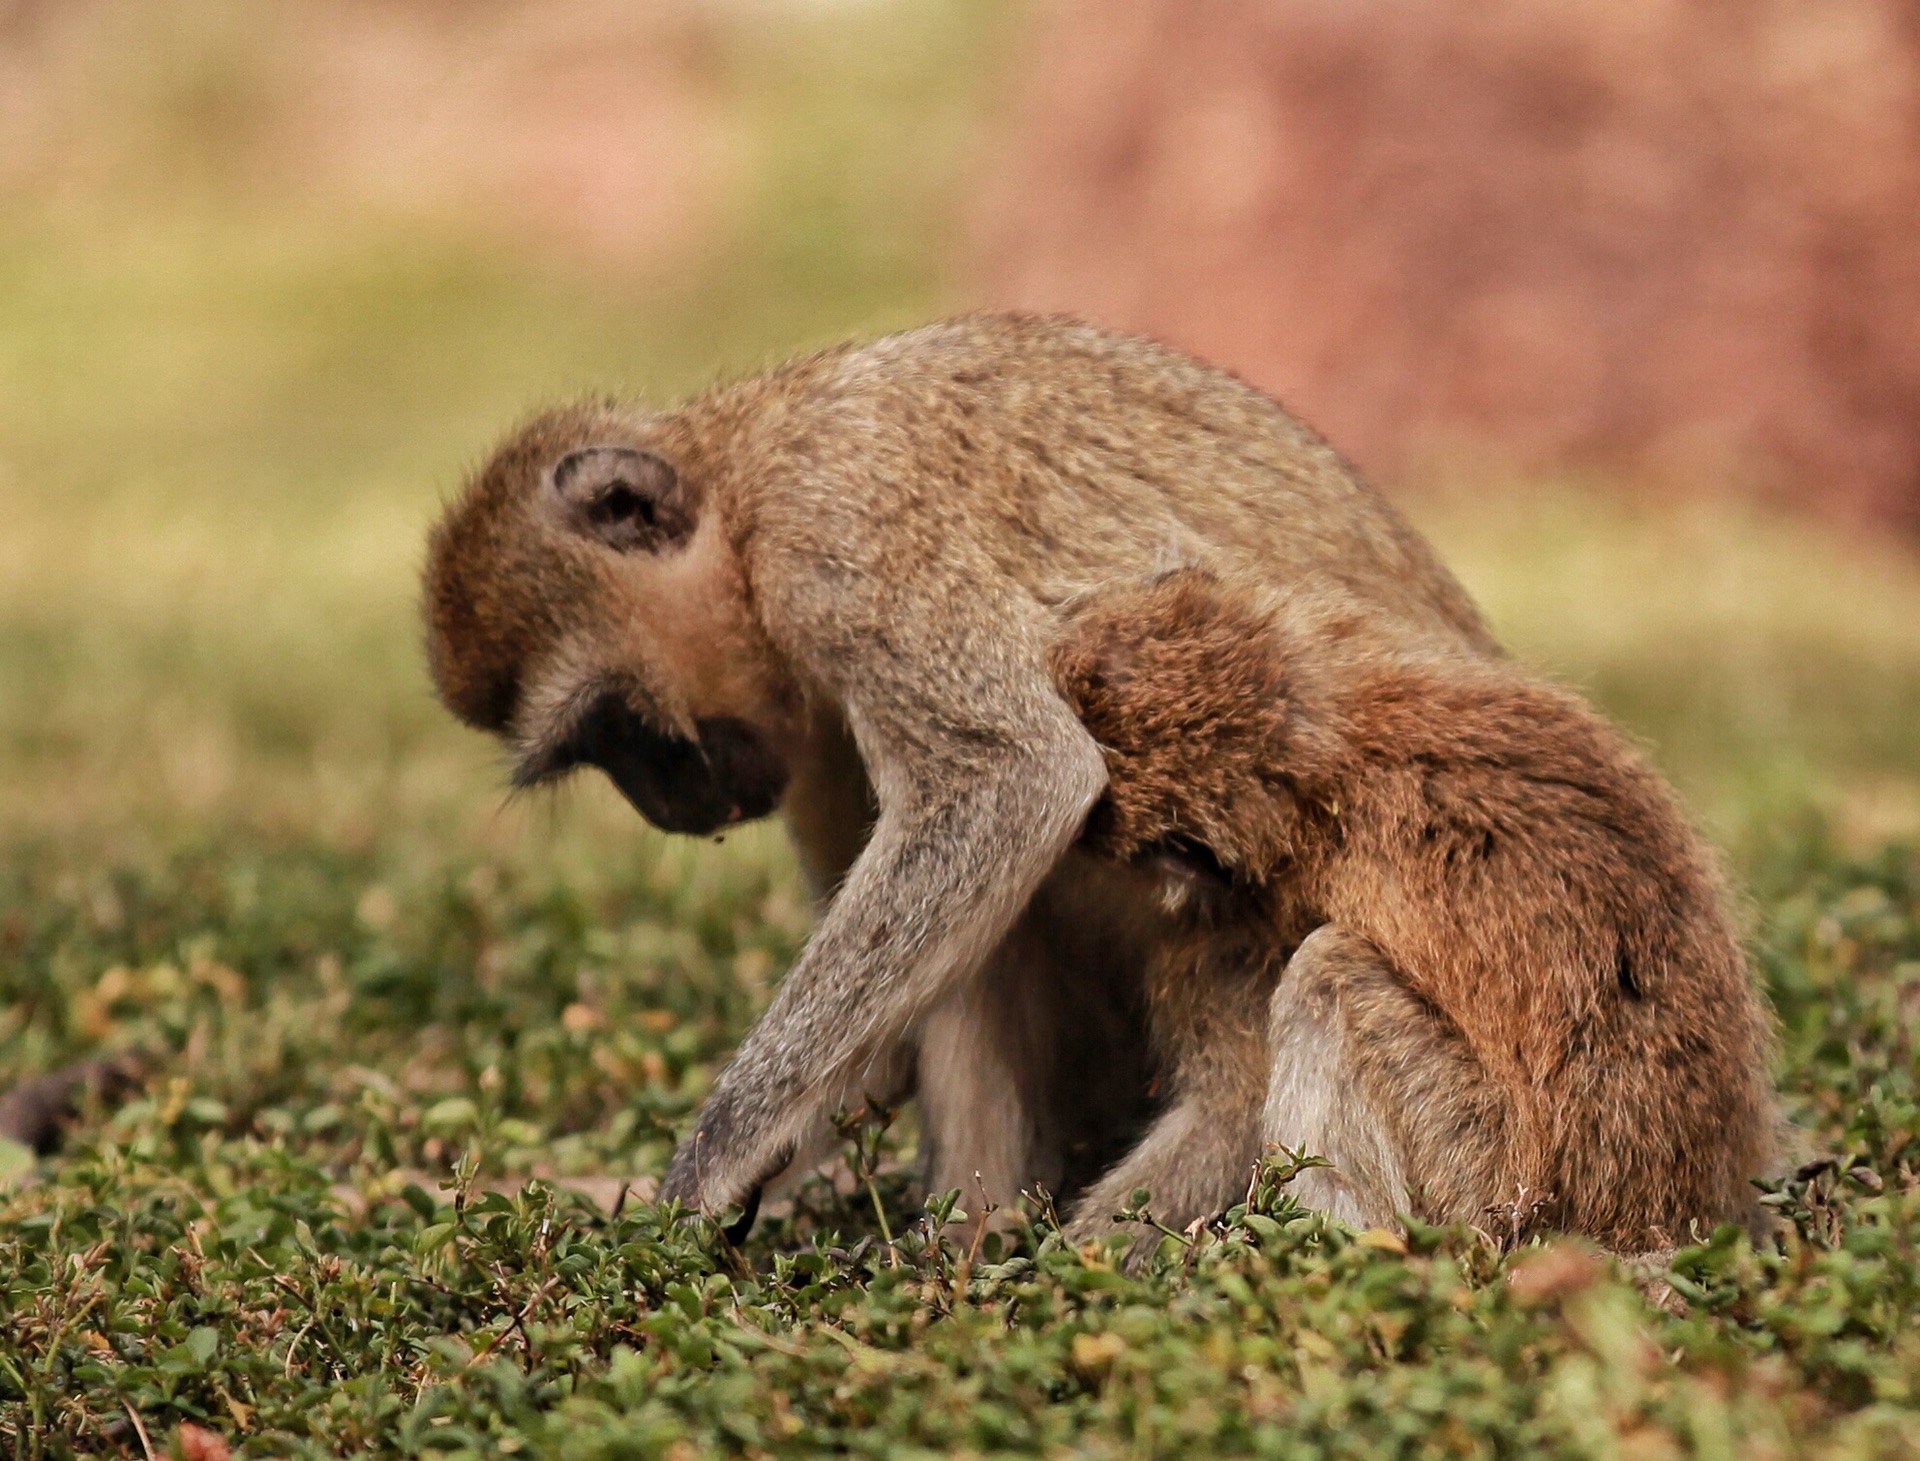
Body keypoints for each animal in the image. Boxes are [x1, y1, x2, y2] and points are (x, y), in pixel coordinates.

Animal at [420, 316, 1497, 1221]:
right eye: (600, 751)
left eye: (619, 728)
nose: (666, 805)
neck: (744, 474)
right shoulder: (806, 725)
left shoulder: (837, 536)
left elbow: (1011, 780)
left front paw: (705, 1171)